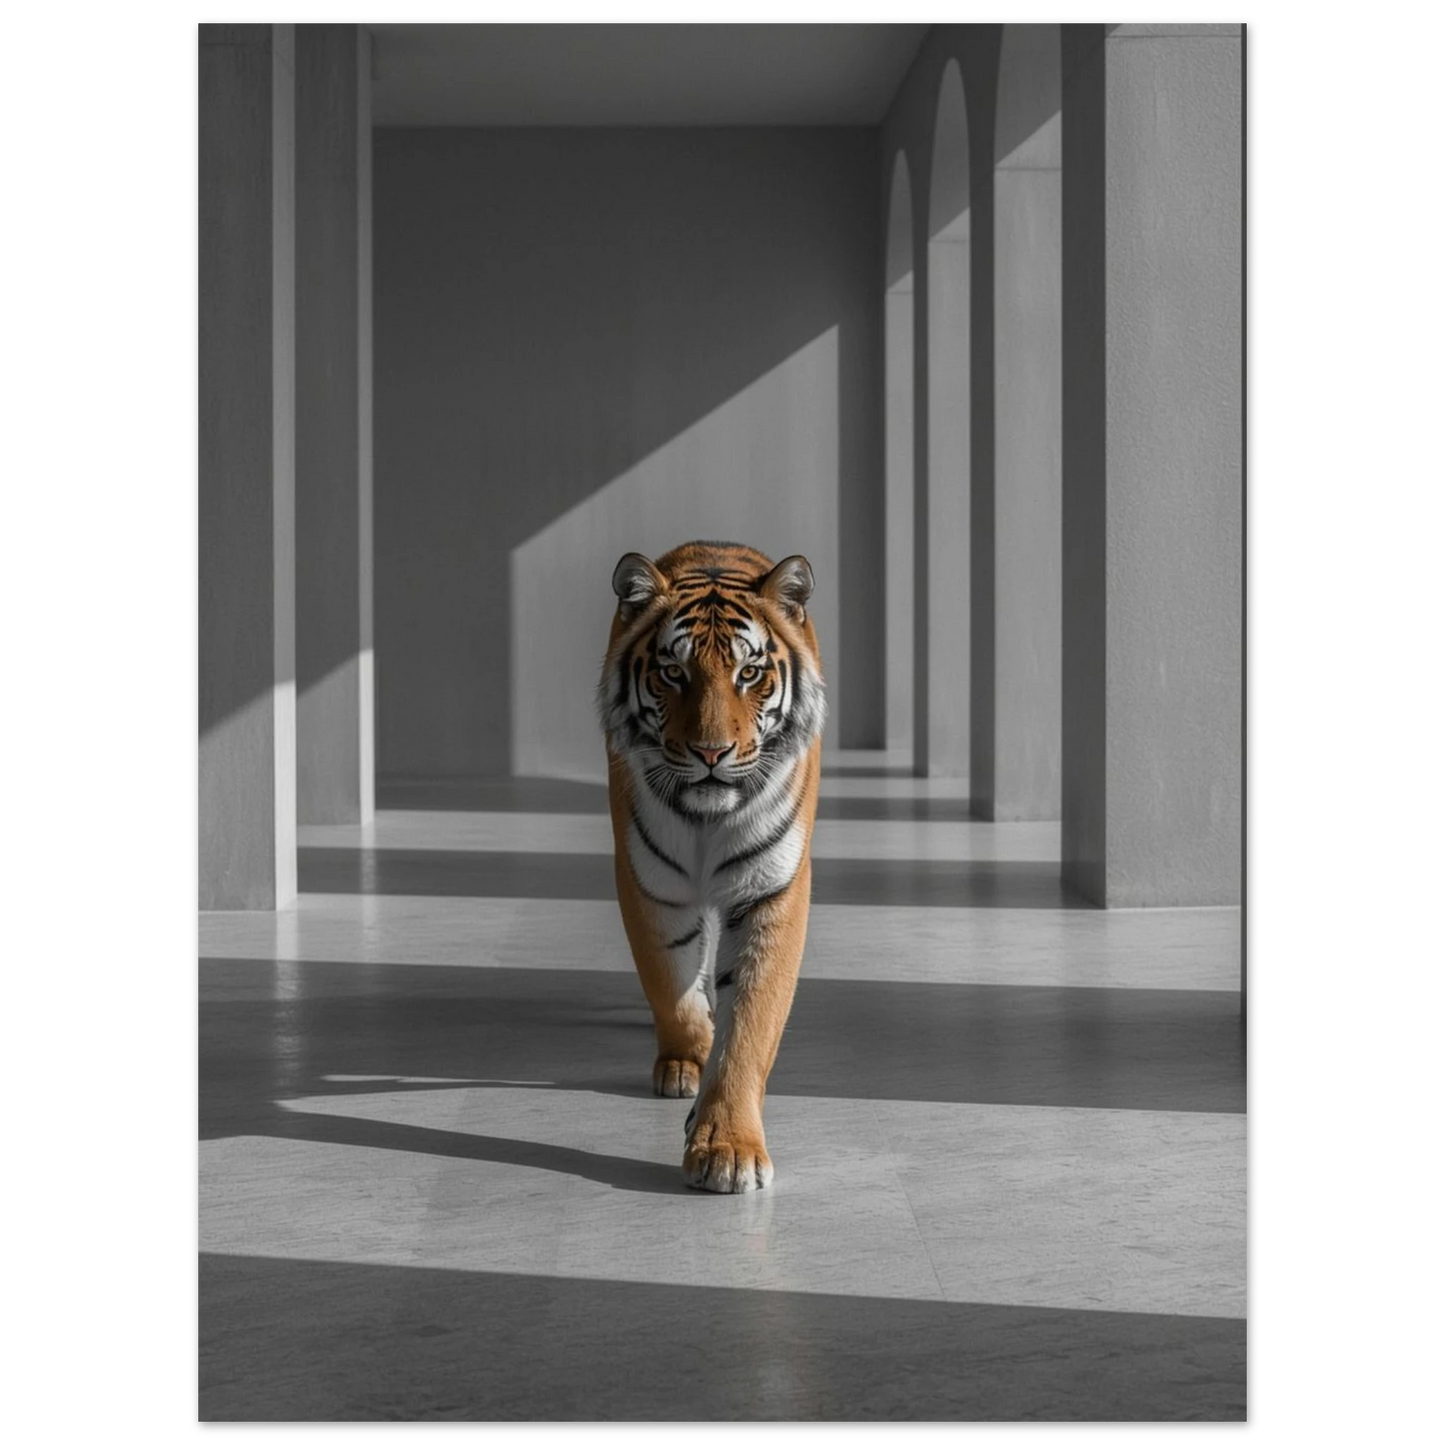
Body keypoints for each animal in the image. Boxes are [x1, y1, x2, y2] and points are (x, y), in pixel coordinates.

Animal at [596, 540, 826, 1193]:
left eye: (748, 673)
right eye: (674, 672)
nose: (711, 753)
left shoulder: (773, 889)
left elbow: (750, 1020)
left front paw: (728, 1146)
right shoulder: (649, 881)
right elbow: (669, 981)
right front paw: (687, 1061)